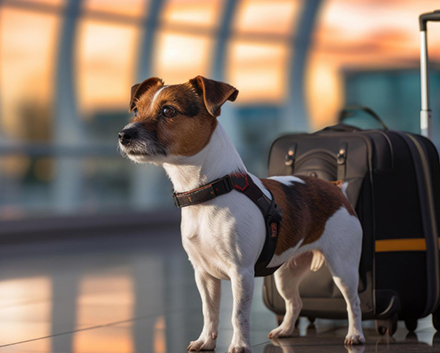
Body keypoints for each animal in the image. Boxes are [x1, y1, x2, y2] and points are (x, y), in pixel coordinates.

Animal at [118, 75, 366, 350]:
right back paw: (285, 330)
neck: (209, 191)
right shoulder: (203, 274)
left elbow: (238, 315)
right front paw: (206, 340)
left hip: (342, 266)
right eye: (137, 110)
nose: (123, 134)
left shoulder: (241, 272)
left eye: (168, 111)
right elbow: (209, 311)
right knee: (295, 302)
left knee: (353, 302)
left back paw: (355, 334)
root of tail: (335, 187)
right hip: (286, 273)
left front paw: (239, 345)